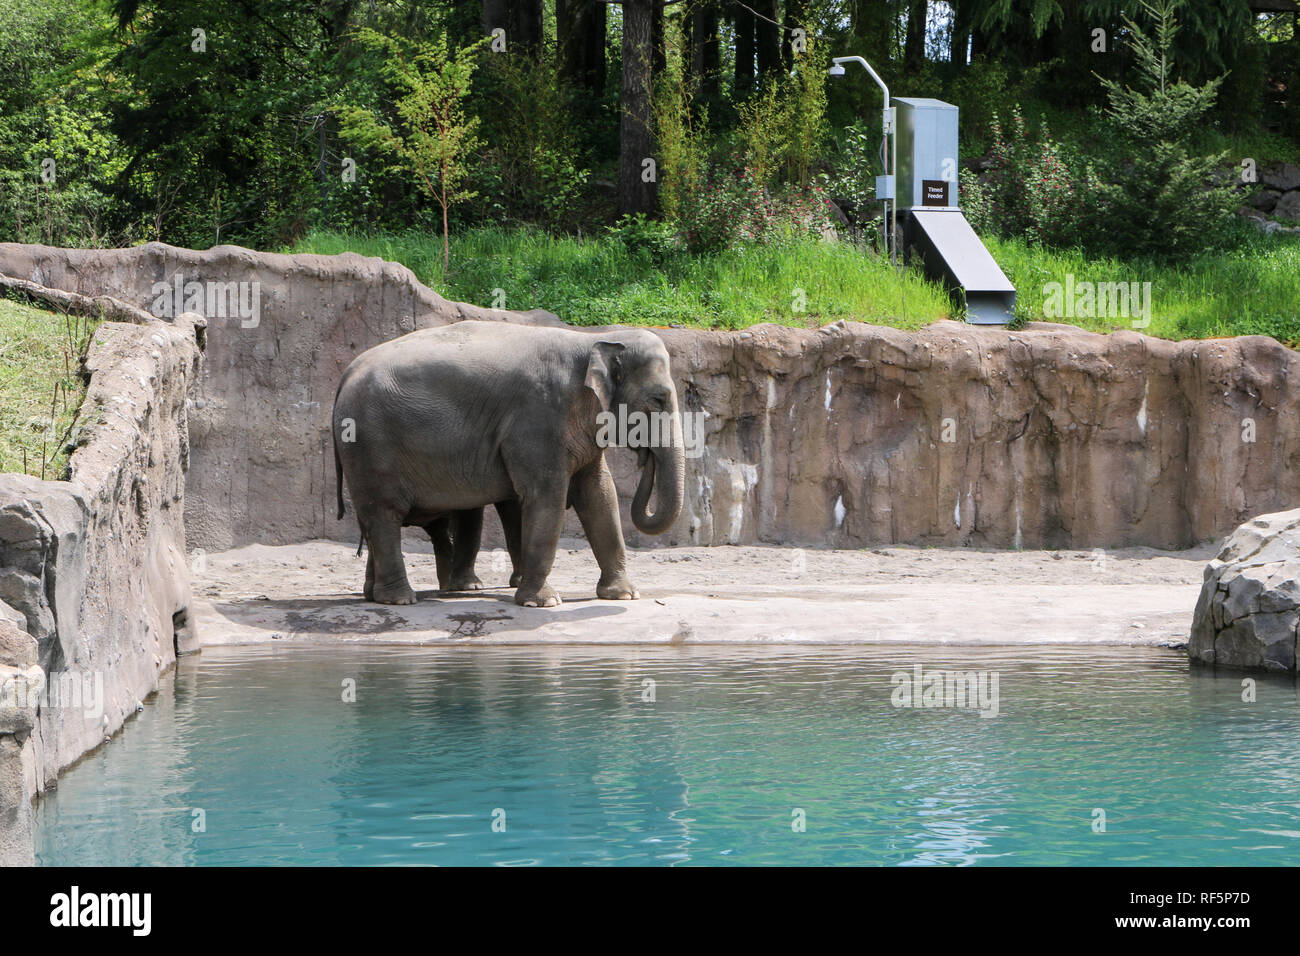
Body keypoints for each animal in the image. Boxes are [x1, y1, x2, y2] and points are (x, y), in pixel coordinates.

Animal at [330, 319, 686, 606]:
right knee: (384, 514)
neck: (593, 339)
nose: (644, 457)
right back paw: (401, 600)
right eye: (659, 399)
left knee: (376, 520)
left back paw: (376, 595)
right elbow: (547, 497)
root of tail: (347, 373)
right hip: (370, 444)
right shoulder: (538, 417)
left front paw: (624, 595)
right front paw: (542, 602)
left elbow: (600, 495)